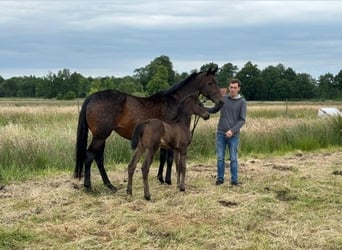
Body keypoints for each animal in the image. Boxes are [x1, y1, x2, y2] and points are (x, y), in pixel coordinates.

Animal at [73, 66, 222, 191]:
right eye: (210, 82)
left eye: (216, 81)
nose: (220, 102)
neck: (174, 102)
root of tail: (91, 97)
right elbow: (168, 159)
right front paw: (168, 180)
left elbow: (163, 158)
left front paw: (161, 178)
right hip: (100, 136)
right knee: (89, 156)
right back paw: (88, 186)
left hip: (102, 137)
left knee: (99, 158)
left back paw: (109, 185)